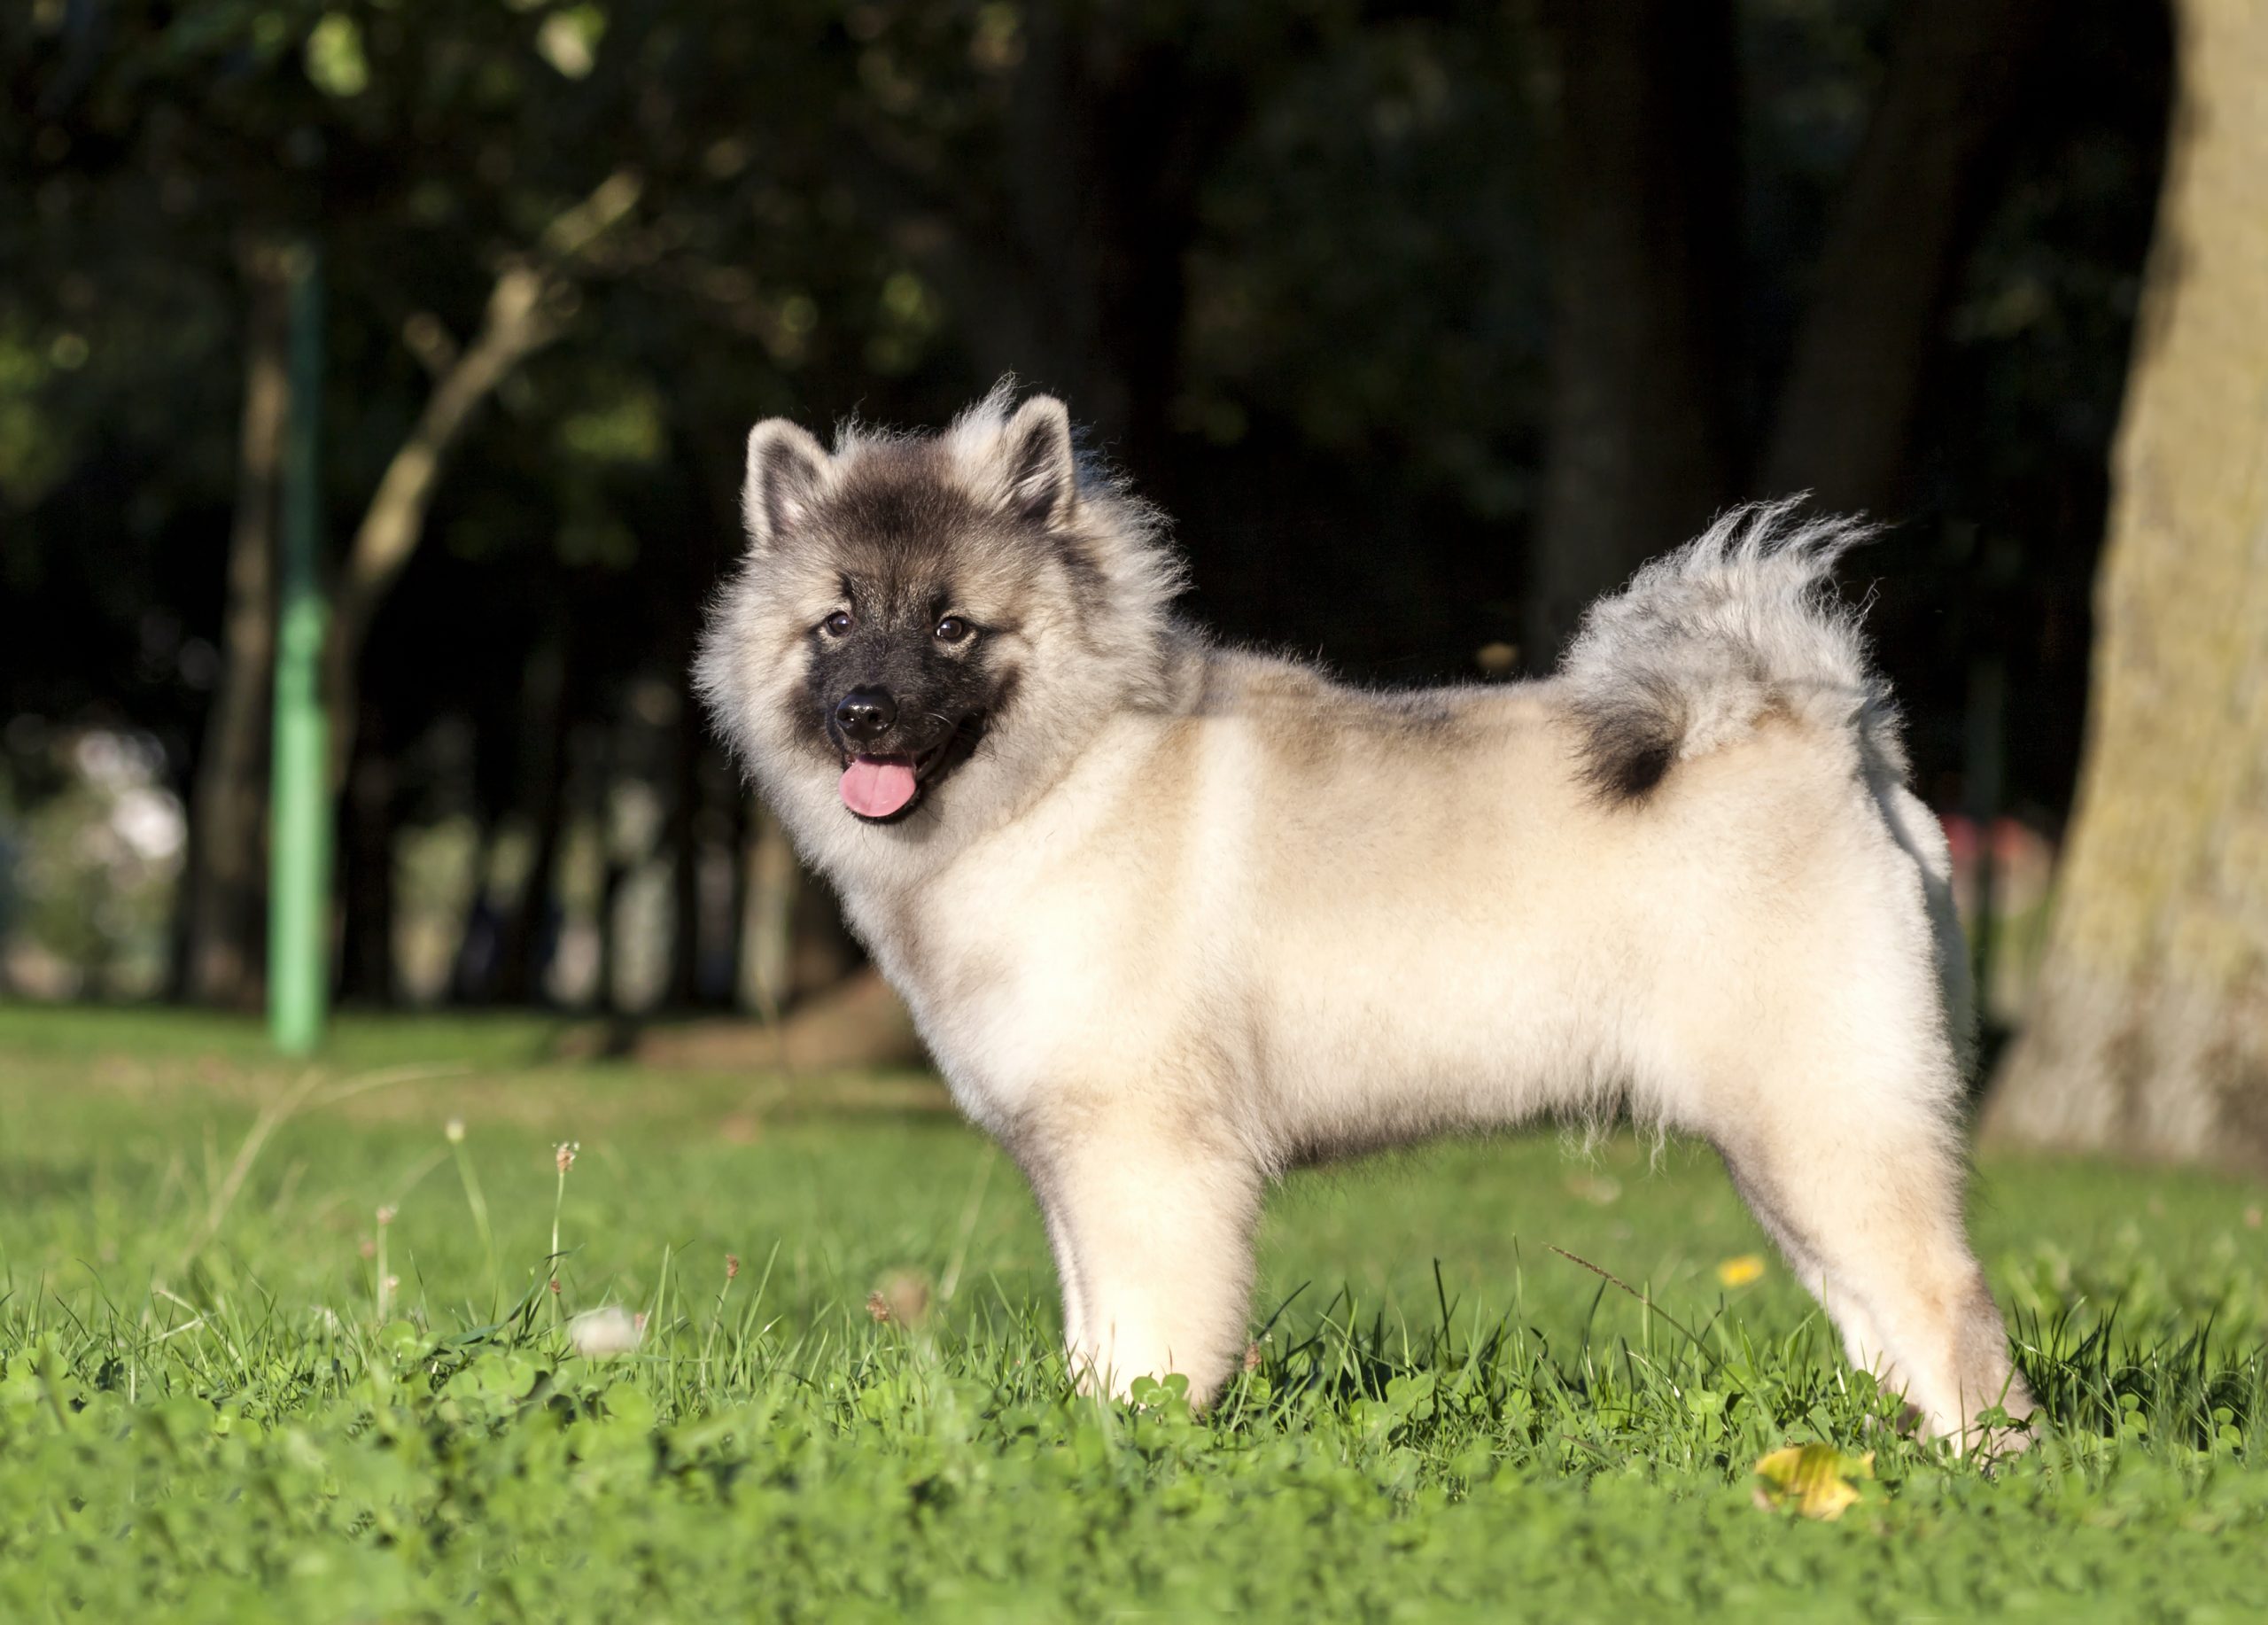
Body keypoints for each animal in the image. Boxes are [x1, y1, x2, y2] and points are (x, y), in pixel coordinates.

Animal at [694, 383, 2041, 1443]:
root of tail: (1827, 728)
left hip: (1825, 1124)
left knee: (1949, 1307)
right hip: (1786, 1150)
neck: (1068, 776)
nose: (863, 712)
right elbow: (1093, 1330)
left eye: (951, 625)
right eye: (834, 621)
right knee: (1880, 1320)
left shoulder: (1147, 1159)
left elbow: (1149, 1343)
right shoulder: (1075, 1171)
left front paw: (1131, 1447)